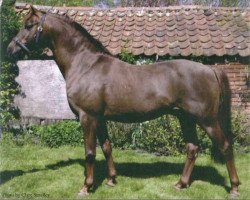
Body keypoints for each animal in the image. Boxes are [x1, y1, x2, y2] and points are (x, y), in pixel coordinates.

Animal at [6, 5, 239, 197]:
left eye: (28, 25)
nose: (10, 49)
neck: (85, 65)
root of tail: (210, 69)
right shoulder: (100, 118)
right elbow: (107, 147)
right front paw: (111, 180)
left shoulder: (87, 117)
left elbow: (90, 152)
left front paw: (86, 187)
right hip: (186, 118)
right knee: (192, 148)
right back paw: (180, 184)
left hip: (207, 120)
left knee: (226, 146)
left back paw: (234, 188)